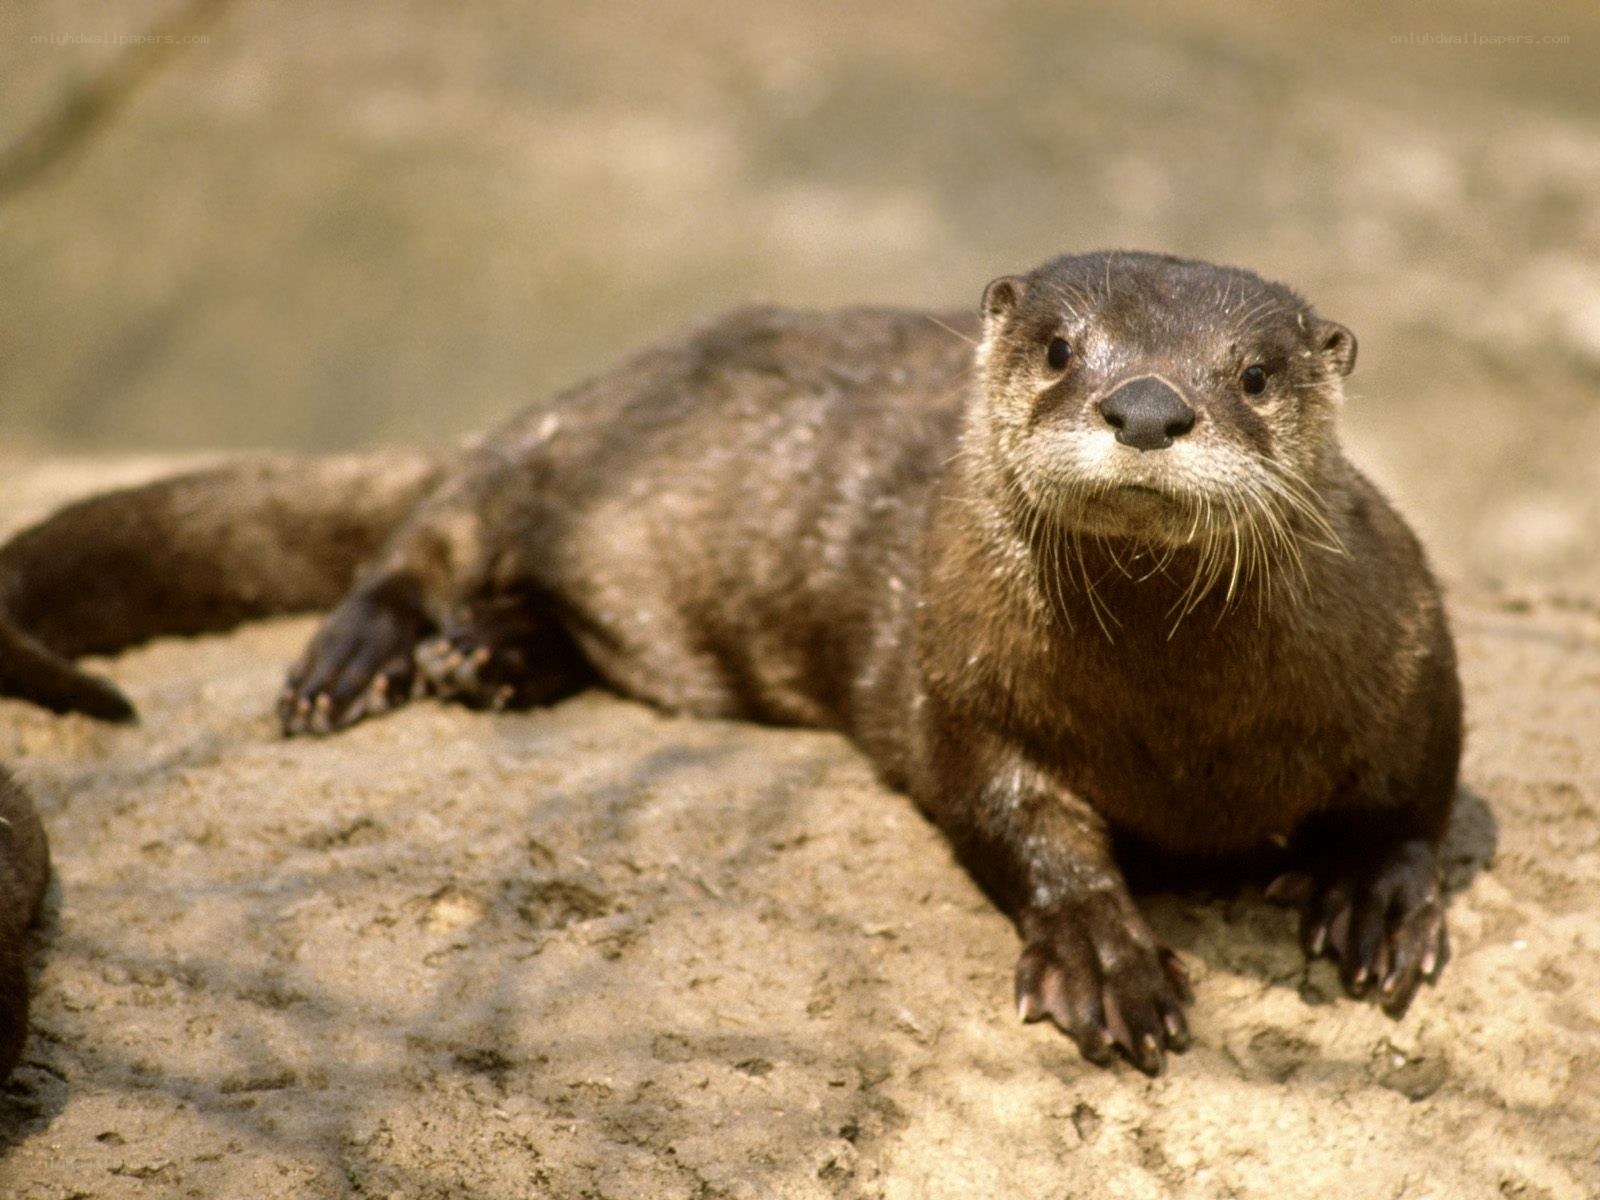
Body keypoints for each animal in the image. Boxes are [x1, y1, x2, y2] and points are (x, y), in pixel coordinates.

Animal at [0, 252, 1460, 1074]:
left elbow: (1420, 791)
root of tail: (586, 387)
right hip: (547, 454)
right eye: (1060, 347)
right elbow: (1020, 819)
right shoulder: (958, 684)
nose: (1148, 404)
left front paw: (1377, 900)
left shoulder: (1407, 645)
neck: (1185, 736)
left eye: (1255, 374)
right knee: (426, 530)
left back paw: (489, 657)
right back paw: (363, 657)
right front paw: (1104, 957)